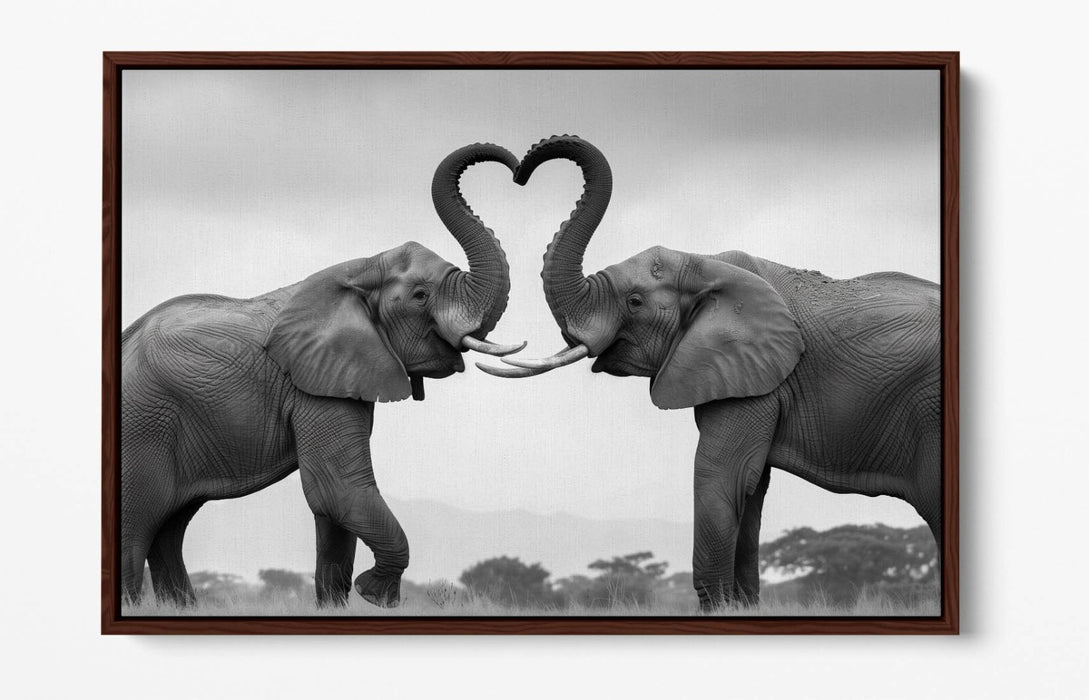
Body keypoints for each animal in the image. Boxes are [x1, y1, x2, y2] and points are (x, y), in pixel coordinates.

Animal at [121, 142, 525, 608]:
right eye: (421, 296)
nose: (516, 167)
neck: (359, 268)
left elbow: (333, 505)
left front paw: (342, 600)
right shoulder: (314, 386)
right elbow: (337, 489)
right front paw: (376, 593)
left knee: (169, 527)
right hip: (143, 426)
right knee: (138, 525)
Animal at [480, 135, 941, 611]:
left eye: (635, 302)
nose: (520, 170)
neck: (705, 262)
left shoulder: (755, 379)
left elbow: (721, 477)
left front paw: (719, 609)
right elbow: (751, 489)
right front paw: (744, 608)